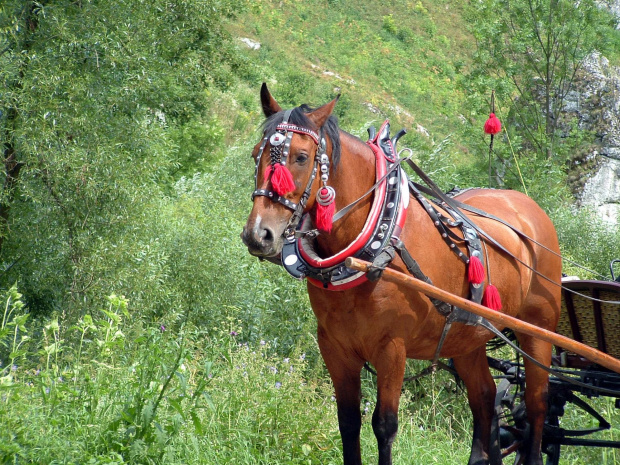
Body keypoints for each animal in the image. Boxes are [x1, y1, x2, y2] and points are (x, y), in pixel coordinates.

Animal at [241, 84, 560, 464]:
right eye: (256, 154)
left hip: (538, 331)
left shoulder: (392, 348)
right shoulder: (334, 347)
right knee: (485, 400)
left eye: (301, 157)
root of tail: (529, 207)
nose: (258, 234)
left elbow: (384, 425)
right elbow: (348, 422)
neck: (372, 248)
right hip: (467, 339)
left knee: (537, 404)